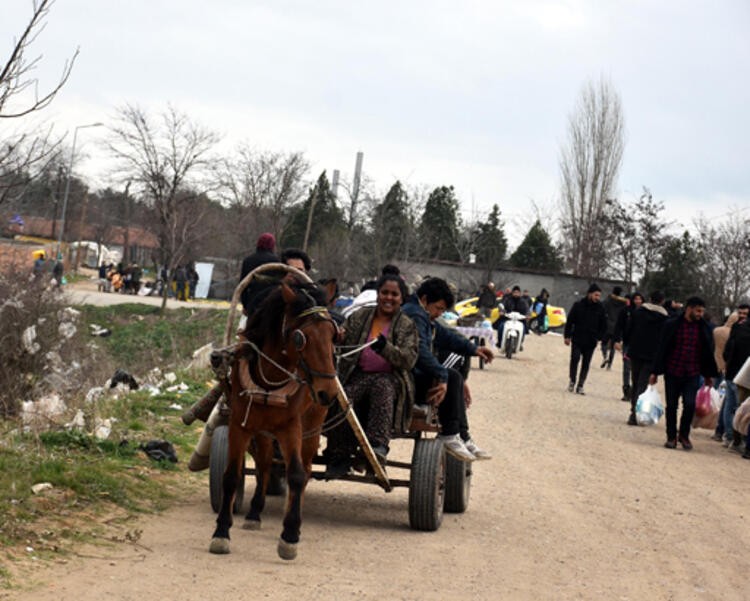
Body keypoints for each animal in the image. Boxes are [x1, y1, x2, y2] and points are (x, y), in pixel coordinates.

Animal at [212, 280, 340, 556]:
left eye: (334, 335)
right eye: (301, 337)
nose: (329, 391)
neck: (269, 380)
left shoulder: (291, 427)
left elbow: (297, 475)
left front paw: (289, 535)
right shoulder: (240, 424)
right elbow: (231, 475)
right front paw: (221, 531)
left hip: (312, 424)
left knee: (306, 469)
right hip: (262, 430)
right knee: (265, 465)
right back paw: (254, 513)